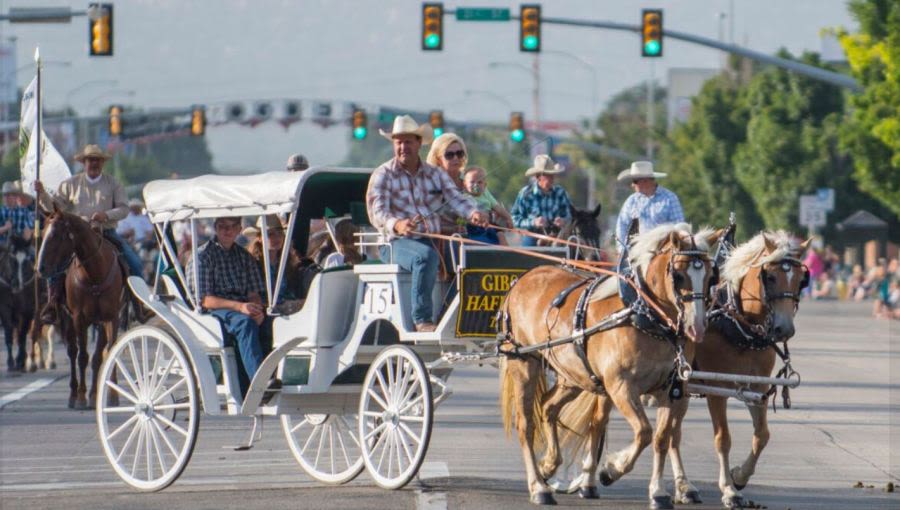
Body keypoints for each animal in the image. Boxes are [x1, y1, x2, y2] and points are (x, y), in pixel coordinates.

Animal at [36, 205, 126, 408]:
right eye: (43, 233)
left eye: (56, 235)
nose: (41, 268)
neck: (95, 275)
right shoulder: (79, 318)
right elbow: (82, 356)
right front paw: (82, 397)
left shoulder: (111, 317)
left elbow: (107, 353)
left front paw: (109, 396)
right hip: (68, 319)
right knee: (72, 352)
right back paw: (73, 395)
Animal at [496, 224, 720, 506]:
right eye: (678, 275)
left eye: (711, 277)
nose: (696, 326)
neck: (645, 317)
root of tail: (523, 279)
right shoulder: (621, 386)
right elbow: (644, 432)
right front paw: (612, 469)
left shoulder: (672, 389)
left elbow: (660, 438)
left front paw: (658, 491)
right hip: (525, 363)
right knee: (526, 424)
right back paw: (538, 486)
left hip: (573, 376)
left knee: (549, 407)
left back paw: (550, 466)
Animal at [672, 232, 812, 510]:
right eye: (770, 277)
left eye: (801, 280)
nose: (784, 329)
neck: (740, 326)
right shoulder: (717, 390)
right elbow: (723, 438)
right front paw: (729, 490)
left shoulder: (756, 387)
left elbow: (762, 435)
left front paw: (739, 477)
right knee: (672, 433)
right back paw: (684, 486)